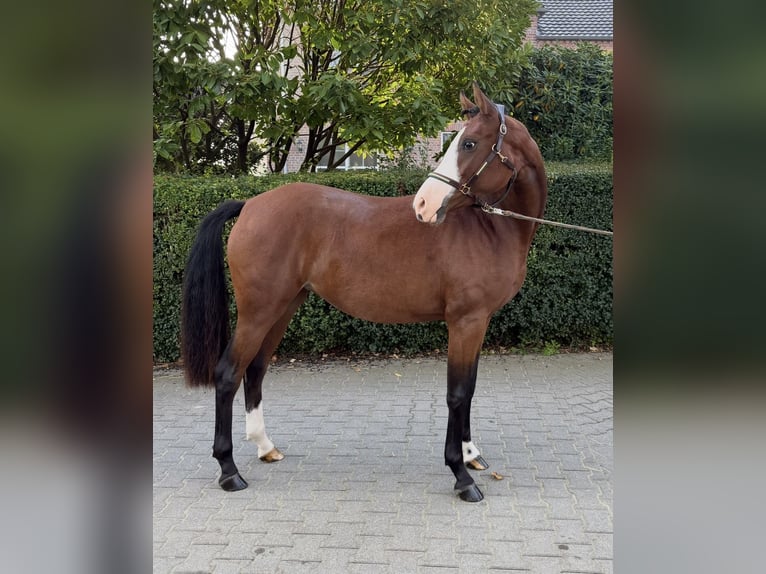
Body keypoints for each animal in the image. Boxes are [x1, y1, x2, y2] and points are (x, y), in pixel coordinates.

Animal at [181, 83, 547, 502]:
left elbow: (468, 389)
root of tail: (250, 205)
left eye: (469, 143)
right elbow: (456, 393)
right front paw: (461, 475)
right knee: (228, 373)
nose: (424, 205)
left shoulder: (478, 322)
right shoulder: (465, 322)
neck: (489, 228)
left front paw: (471, 455)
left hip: (282, 307)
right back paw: (229, 470)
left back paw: (264, 446)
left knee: (255, 369)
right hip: (259, 311)